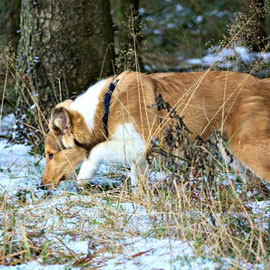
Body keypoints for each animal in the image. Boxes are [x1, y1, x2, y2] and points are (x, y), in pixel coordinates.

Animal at [40, 70, 270, 191]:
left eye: (50, 155)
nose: (42, 186)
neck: (105, 108)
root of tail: (262, 83)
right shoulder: (140, 157)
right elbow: (137, 180)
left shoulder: (143, 142)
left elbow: (96, 151)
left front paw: (84, 176)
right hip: (232, 155)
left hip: (249, 149)